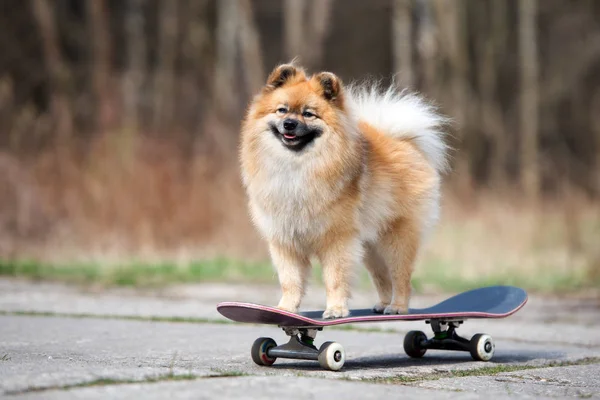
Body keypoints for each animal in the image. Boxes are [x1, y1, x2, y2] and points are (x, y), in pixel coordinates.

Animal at [238, 63, 446, 318]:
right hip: (370, 246)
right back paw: (382, 304)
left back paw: (397, 307)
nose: (289, 124)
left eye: (308, 114)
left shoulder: (337, 240)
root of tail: (404, 142)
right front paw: (285, 309)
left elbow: (335, 278)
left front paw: (336, 309)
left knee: (401, 277)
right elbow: (290, 280)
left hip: (396, 239)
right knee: (382, 276)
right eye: (282, 110)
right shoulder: (285, 242)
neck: (296, 167)